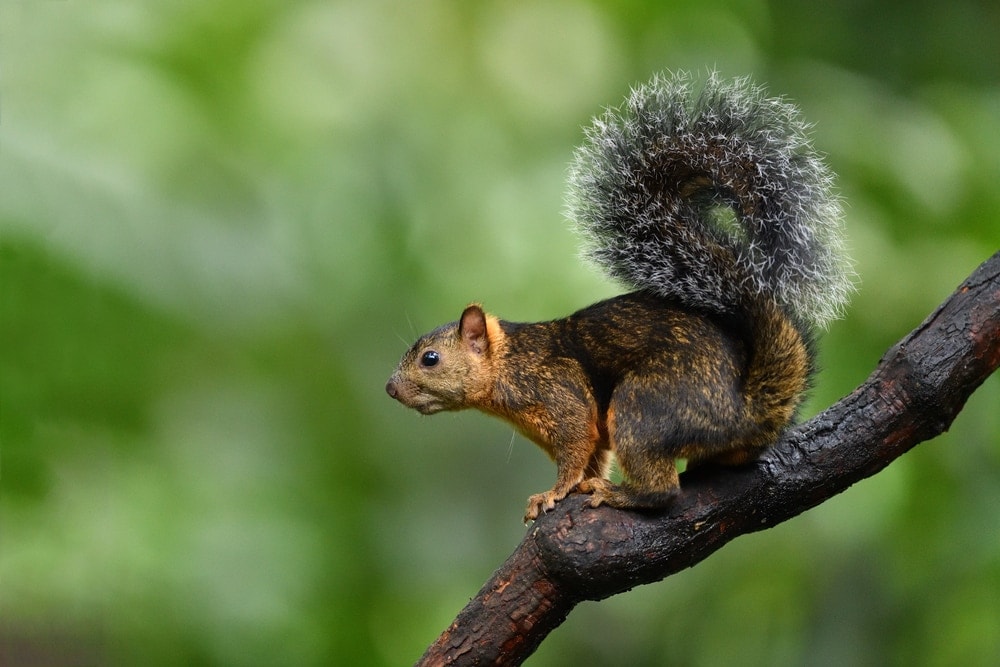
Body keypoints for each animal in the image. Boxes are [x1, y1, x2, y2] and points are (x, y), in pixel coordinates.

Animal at [386, 72, 854, 523]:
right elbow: (592, 456)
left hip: (644, 406)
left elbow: (576, 448)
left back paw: (620, 495)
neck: (510, 363)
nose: (390, 388)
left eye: (430, 359)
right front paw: (571, 487)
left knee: (663, 489)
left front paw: (553, 493)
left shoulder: (560, 396)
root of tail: (745, 410)